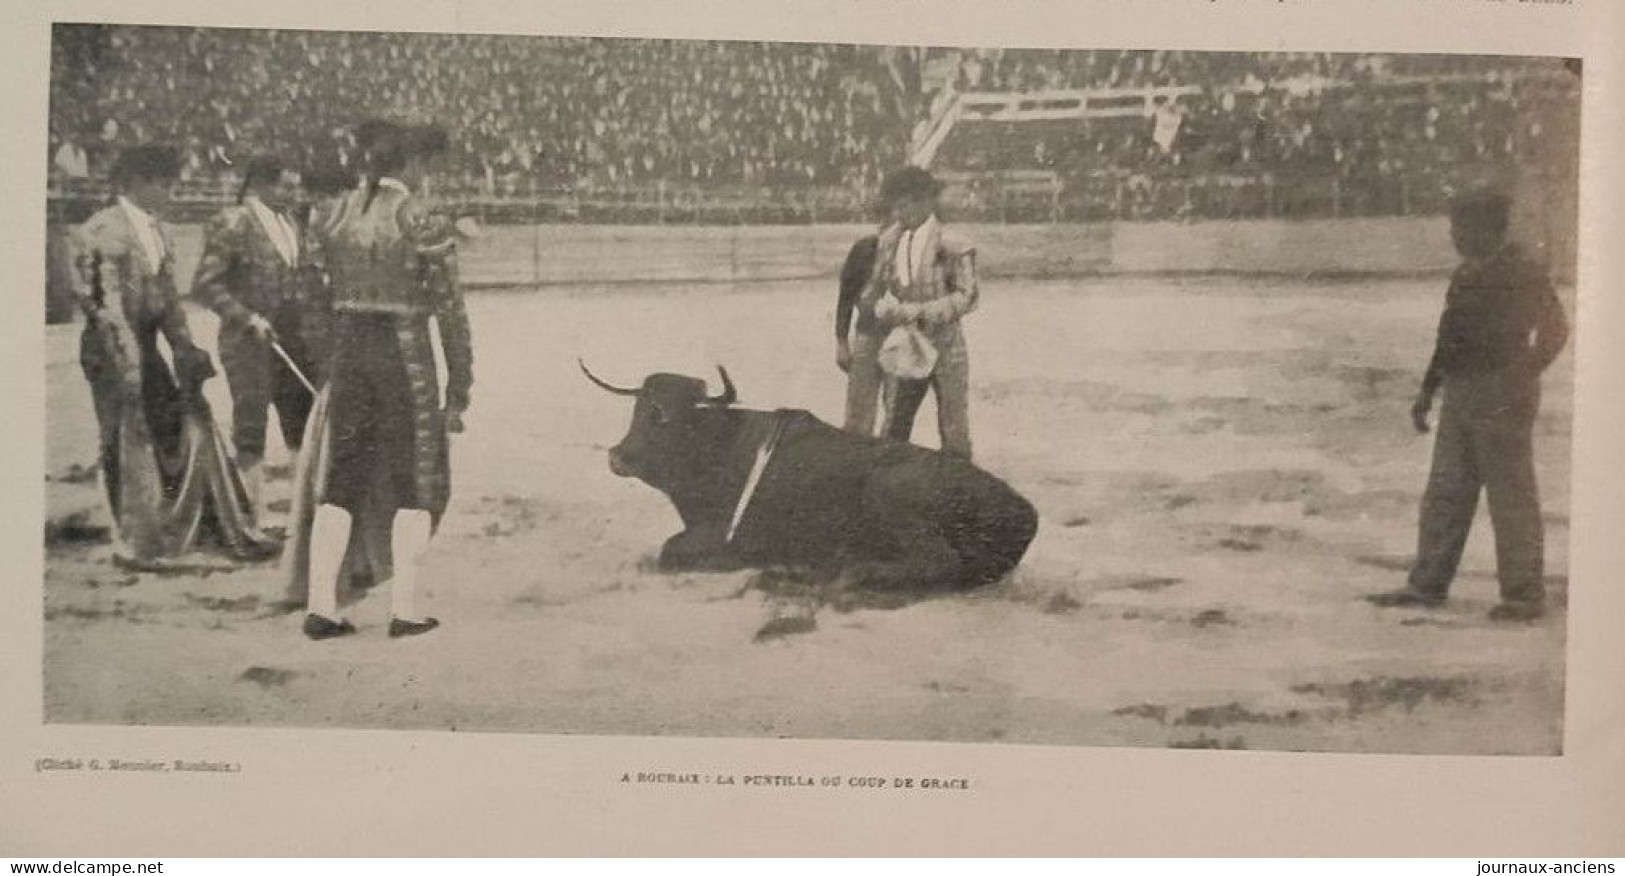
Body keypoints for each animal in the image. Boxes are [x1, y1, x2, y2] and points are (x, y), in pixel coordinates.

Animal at [585, 359, 1040, 591]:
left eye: (667, 418)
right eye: (638, 409)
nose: (618, 457)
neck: (723, 445)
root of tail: (1024, 509)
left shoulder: (732, 535)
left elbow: (671, 550)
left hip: (891, 495)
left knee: (937, 561)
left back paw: (848, 572)